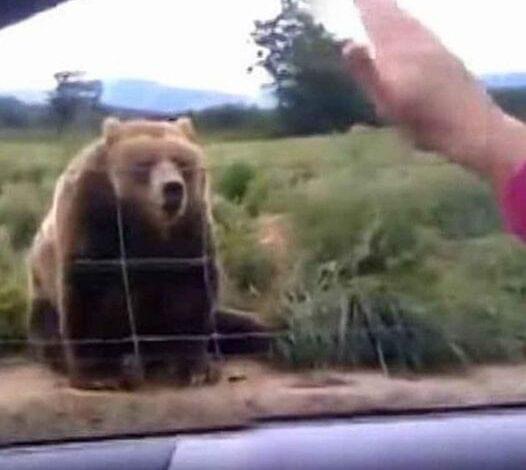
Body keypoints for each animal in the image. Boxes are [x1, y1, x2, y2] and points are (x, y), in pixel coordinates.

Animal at [26, 116, 270, 390]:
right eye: (144, 163)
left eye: (181, 162)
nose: (172, 188)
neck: (147, 224)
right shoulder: (91, 219)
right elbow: (89, 294)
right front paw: (102, 374)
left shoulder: (188, 230)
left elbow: (189, 292)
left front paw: (195, 367)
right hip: (42, 295)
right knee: (49, 330)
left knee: (239, 324)